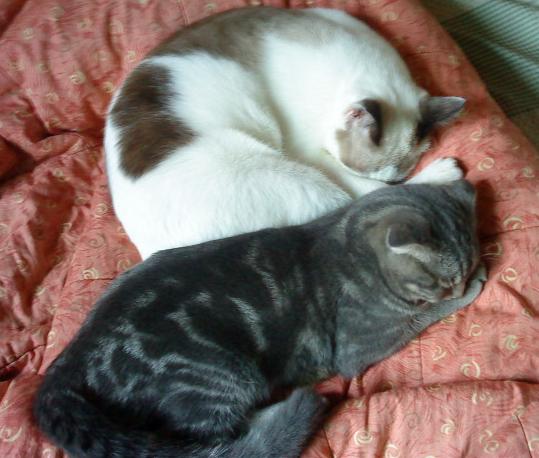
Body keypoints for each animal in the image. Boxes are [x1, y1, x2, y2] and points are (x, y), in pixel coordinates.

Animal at [34, 180, 485, 458]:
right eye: (442, 280)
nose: (459, 284)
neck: (348, 238)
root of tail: (65, 364)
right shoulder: (361, 345)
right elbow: (423, 315)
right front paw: (470, 290)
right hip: (223, 375)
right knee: (226, 442)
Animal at [104, 6, 466, 259]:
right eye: (350, 165)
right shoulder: (311, 152)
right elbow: (369, 192)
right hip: (289, 172)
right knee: (355, 201)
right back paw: (444, 172)